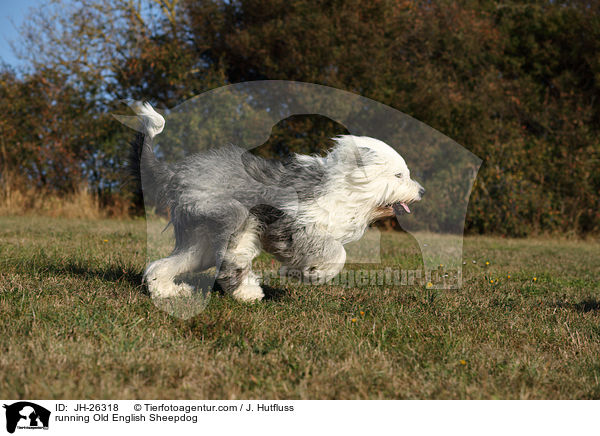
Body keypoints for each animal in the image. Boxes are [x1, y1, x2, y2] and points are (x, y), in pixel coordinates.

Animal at [129, 102, 424, 302]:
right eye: (399, 175)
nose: (421, 191)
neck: (344, 189)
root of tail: (176, 172)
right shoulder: (296, 226)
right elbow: (337, 253)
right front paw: (311, 274)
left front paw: (303, 272)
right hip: (230, 216)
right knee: (231, 260)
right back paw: (247, 292)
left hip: (200, 240)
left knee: (164, 265)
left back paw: (168, 290)